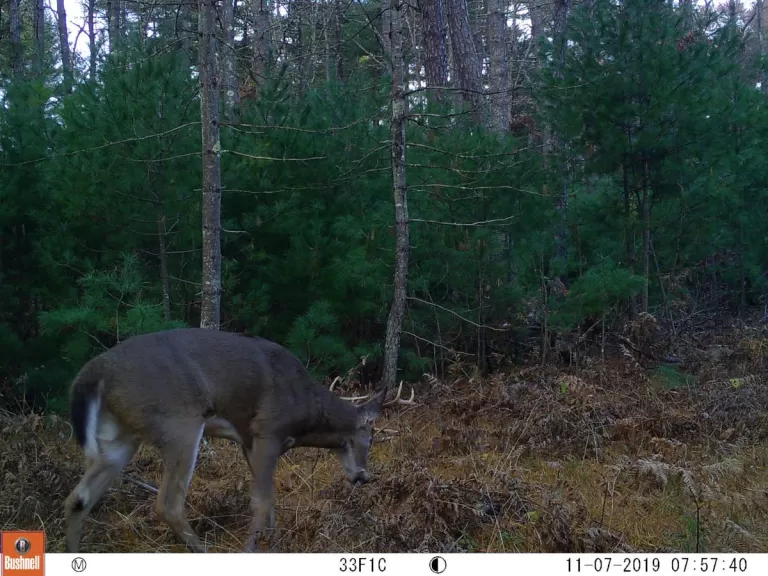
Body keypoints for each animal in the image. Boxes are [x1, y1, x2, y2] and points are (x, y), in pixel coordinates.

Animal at [63, 327, 415, 553]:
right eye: (370, 437)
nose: (364, 476)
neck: (303, 409)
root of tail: (92, 374)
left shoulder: (248, 440)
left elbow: (270, 503)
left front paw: (275, 547)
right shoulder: (268, 430)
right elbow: (261, 502)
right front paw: (252, 550)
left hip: (118, 438)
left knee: (78, 498)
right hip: (179, 423)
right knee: (169, 504)